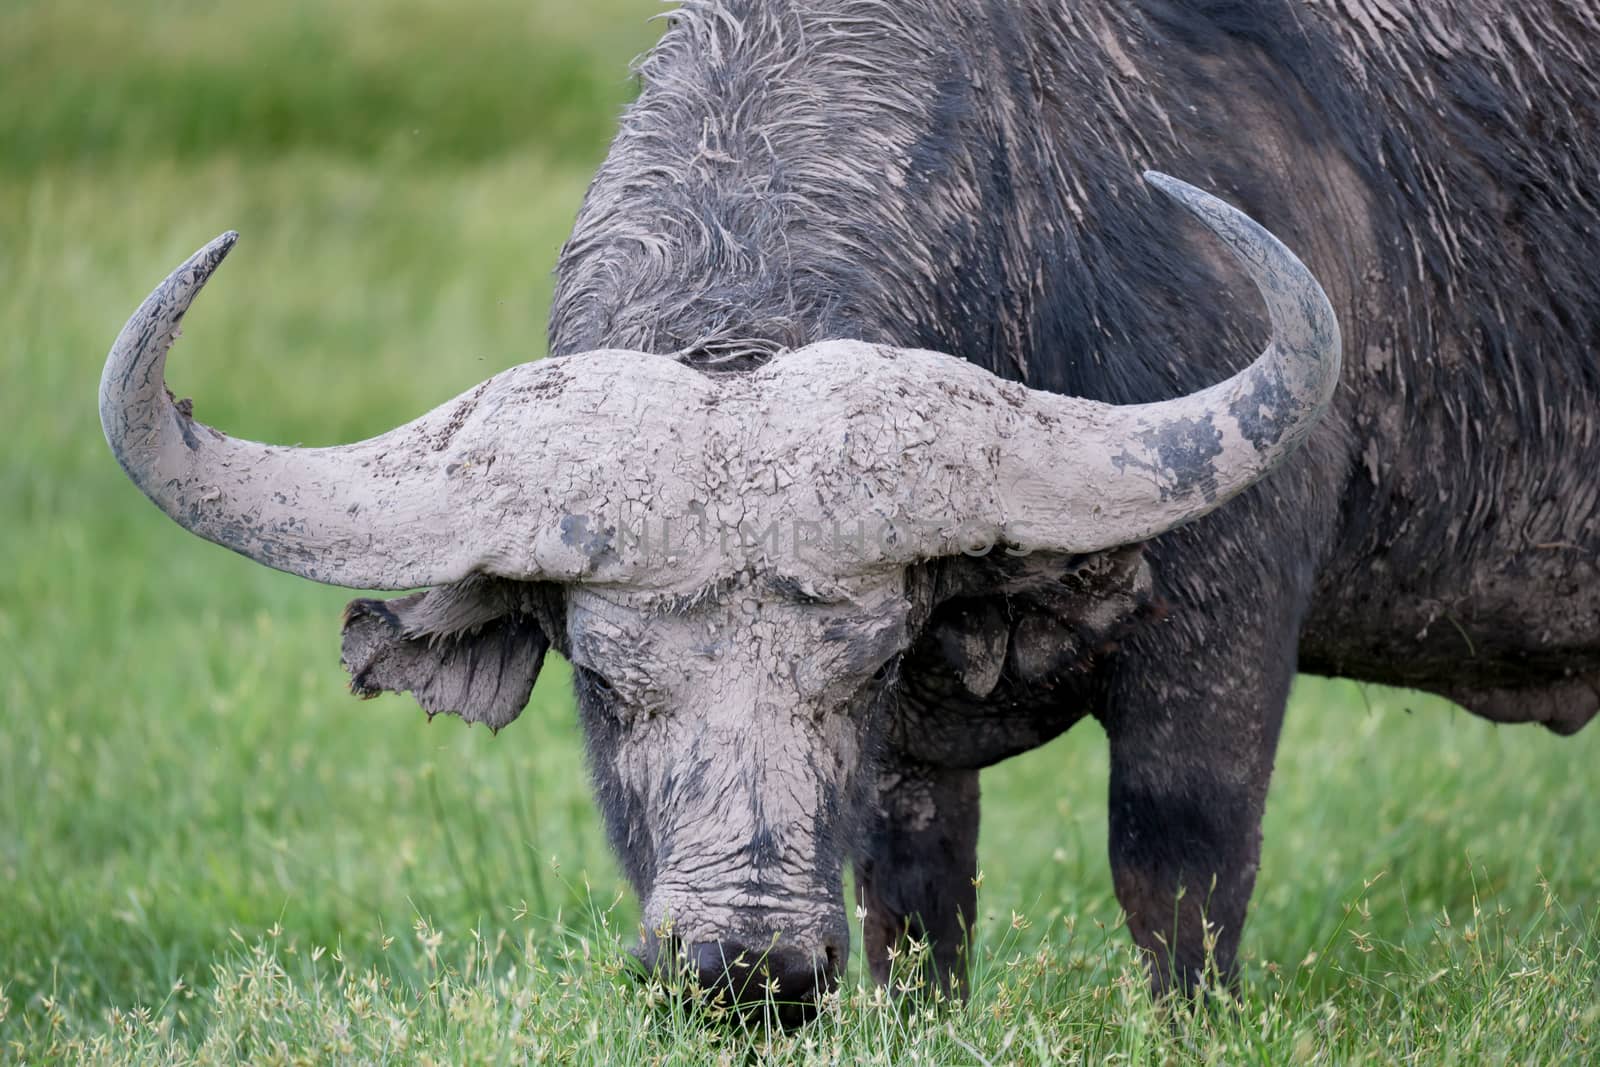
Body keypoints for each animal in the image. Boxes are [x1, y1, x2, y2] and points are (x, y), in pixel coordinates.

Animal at [103, 0, 1600, 1017]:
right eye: (603, 676)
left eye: (863, 664)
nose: (745, 962)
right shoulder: (910, 790)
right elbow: (919, 905)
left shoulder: (1223, 622)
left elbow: (1178, 868)